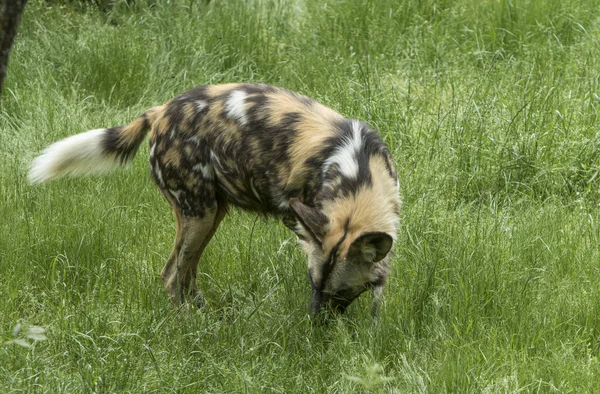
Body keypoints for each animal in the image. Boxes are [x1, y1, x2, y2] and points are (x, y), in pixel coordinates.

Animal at [29, 83, 404, 318]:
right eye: (314, 284)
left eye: (340, 292)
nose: (316, 323)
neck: (358, 174)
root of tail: (159, 111)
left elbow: (379, 291)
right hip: (200, 214)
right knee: (171, 275)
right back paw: (187, 326)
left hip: (211, 215)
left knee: (187, 271)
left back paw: (205, 316)